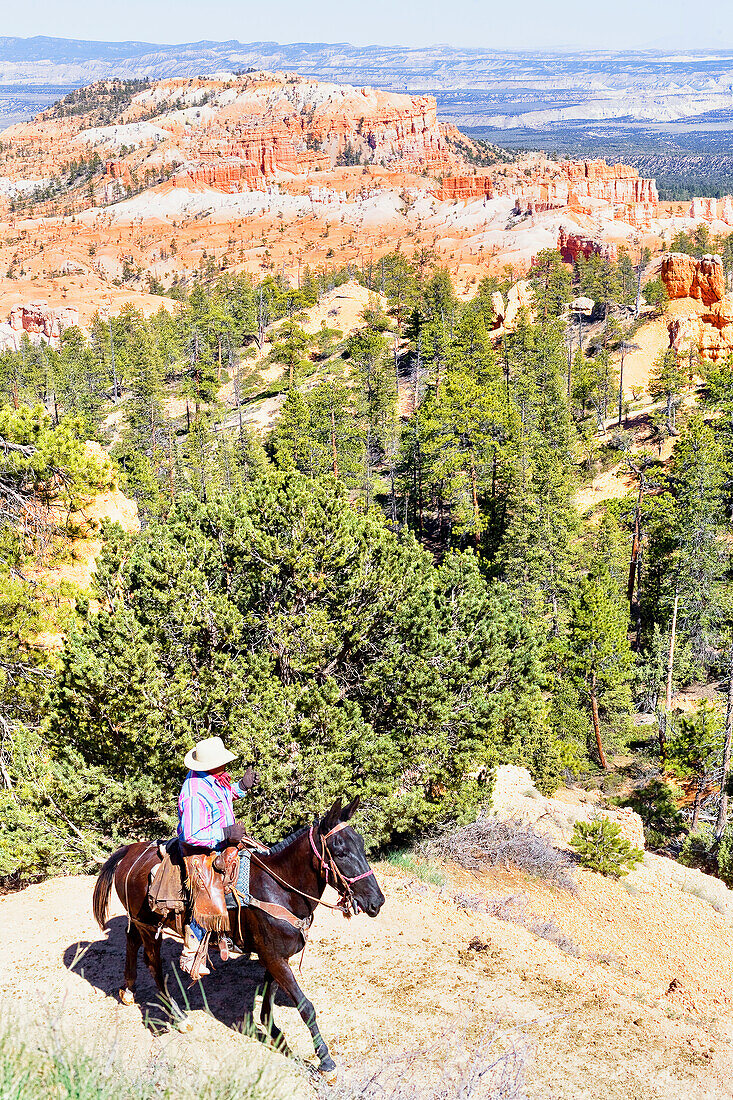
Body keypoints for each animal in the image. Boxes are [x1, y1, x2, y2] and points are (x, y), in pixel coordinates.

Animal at [93, 796, 383, 1078]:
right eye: (340, 851)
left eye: (361, 844)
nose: (376, 901)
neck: (279, 889)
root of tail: (130, 851)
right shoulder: (274, 958)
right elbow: (306, 1006)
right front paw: (325, 1060)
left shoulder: (274, 957)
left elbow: (268, 1001)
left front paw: (274, 1033)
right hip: (149, 928)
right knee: (154, 965)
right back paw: (179, 1018)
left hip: (139, 921)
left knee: (131, 944)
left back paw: (128, 991)